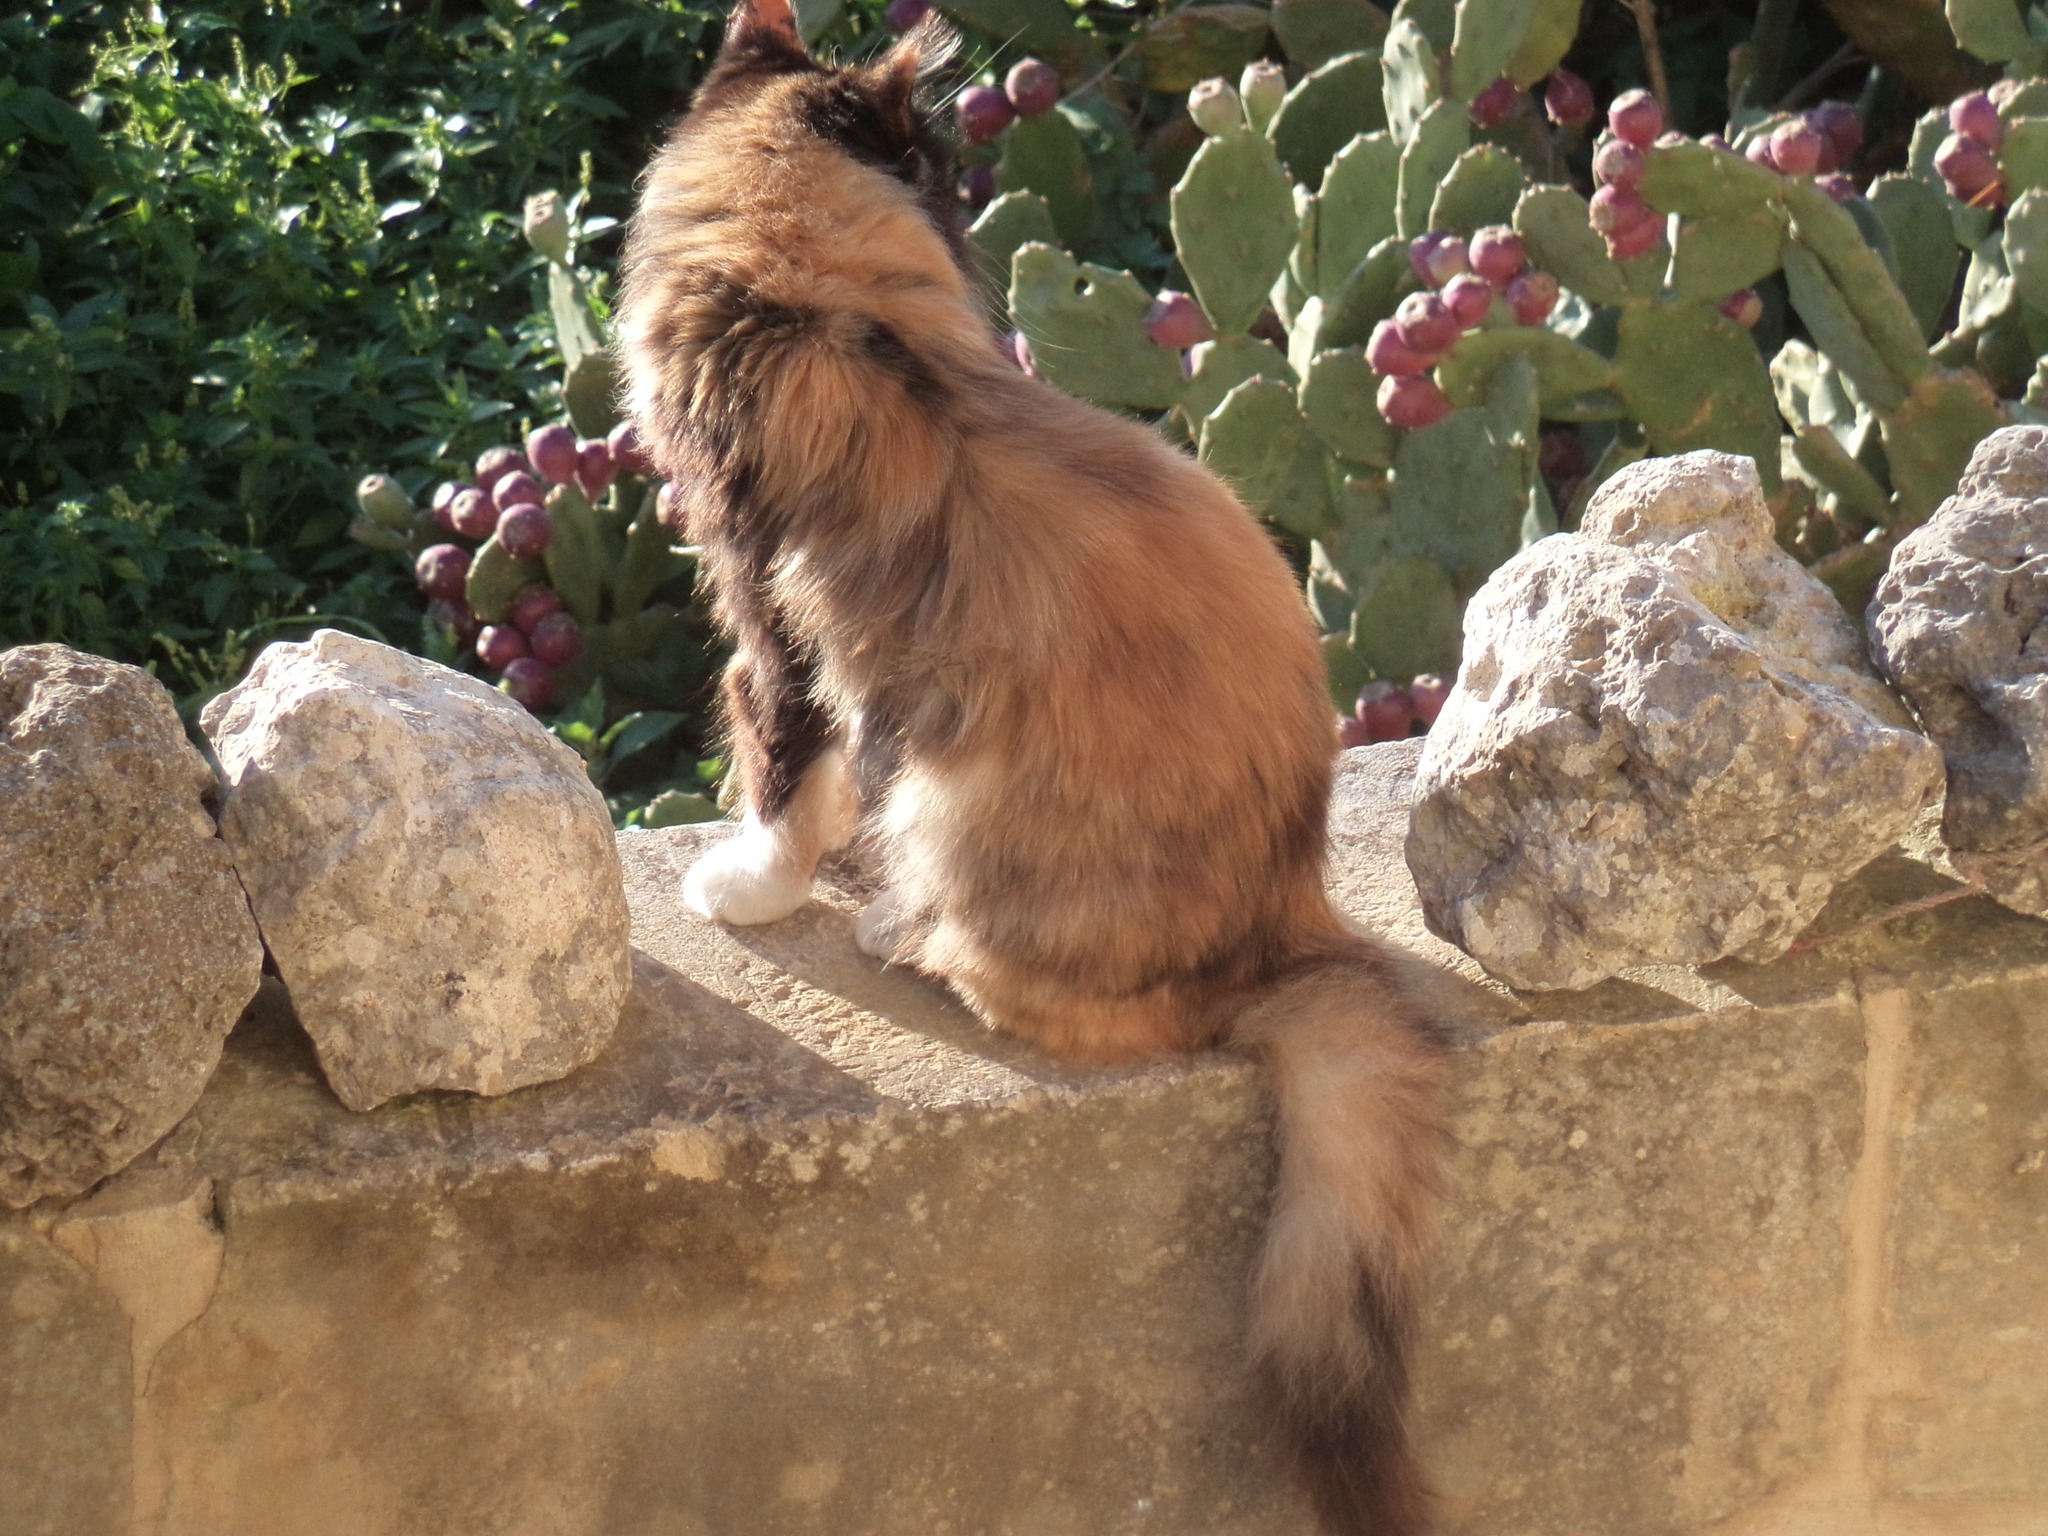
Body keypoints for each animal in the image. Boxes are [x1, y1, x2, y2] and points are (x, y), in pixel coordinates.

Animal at [616, 5, 1451, 1530]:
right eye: (941, 172)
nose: (969, 213)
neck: (840, 306)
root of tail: (1289, 935)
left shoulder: (771, 621)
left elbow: (782, 774)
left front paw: (751, 889)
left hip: (964, 804)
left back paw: (904, 934)